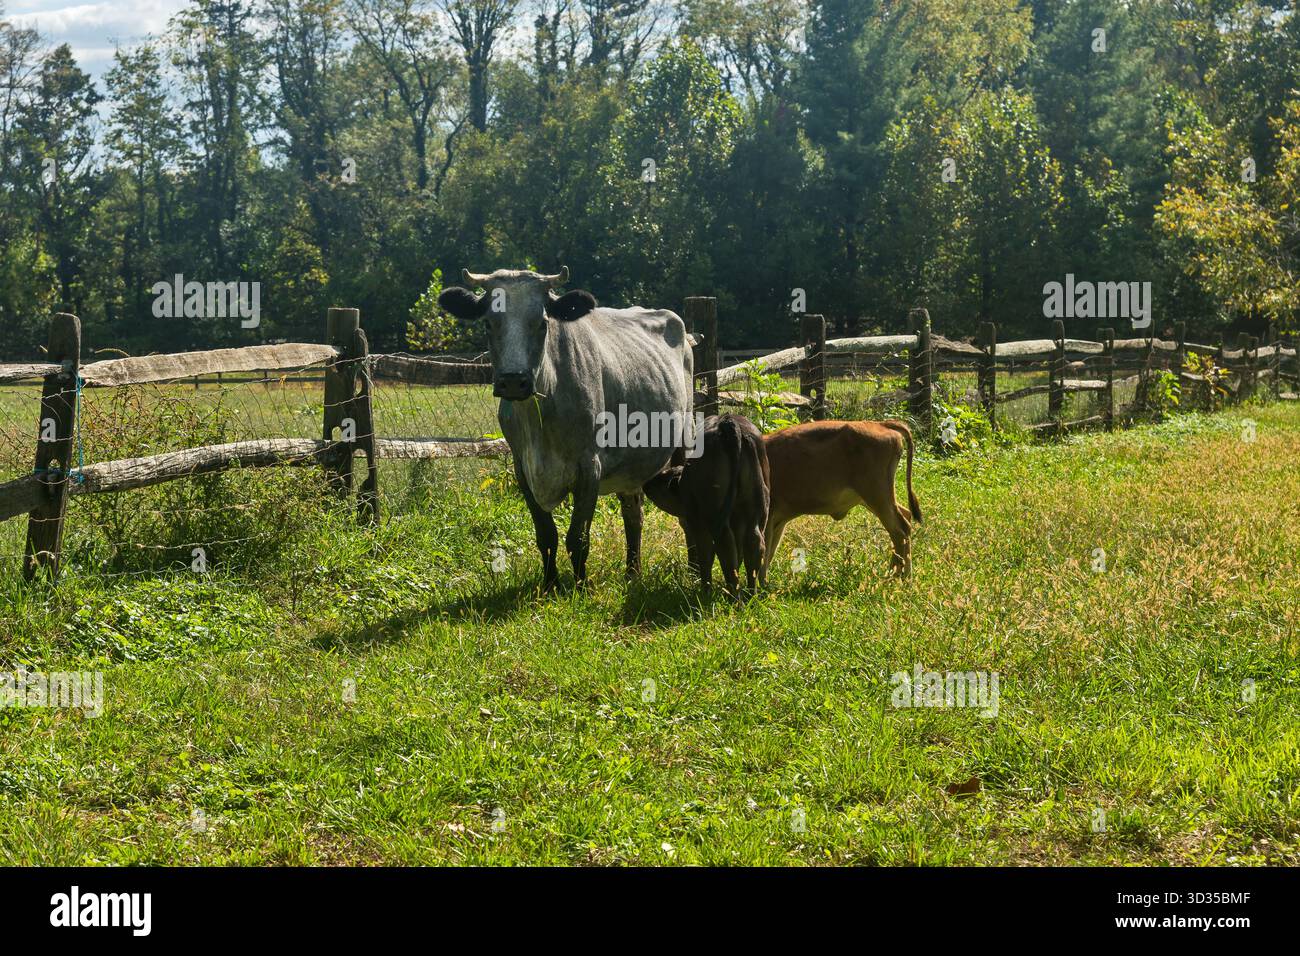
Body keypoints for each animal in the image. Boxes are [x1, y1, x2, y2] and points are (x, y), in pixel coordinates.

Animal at [437, 267, 694, 590]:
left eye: (542, 323)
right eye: (487, 323)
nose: (513, 381)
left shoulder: (589, 466)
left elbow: (578, 537)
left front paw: (581, 587)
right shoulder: (523, 469)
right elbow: (546, 536)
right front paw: (549, 587)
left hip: (685, 438)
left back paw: (694, 569)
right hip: (631, 467)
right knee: (633, 514)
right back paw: (632, 573)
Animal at [643, 414, 770, 594]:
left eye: (663, 477)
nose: (646, 484)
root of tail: (728, 422)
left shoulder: (695, 521)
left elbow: (705, 555)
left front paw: (704, 589)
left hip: (713, 515)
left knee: (723, 547)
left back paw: (726, 595)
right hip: (756, 510)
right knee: (753, 544)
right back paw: (750, 594)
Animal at [762, 419, 921, 577]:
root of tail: (881, 424)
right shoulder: (778, 521)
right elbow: (769, 554)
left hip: (877, 495)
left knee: (900, 530)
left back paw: (897, 576)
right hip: (873, 499)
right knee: (905, 516)